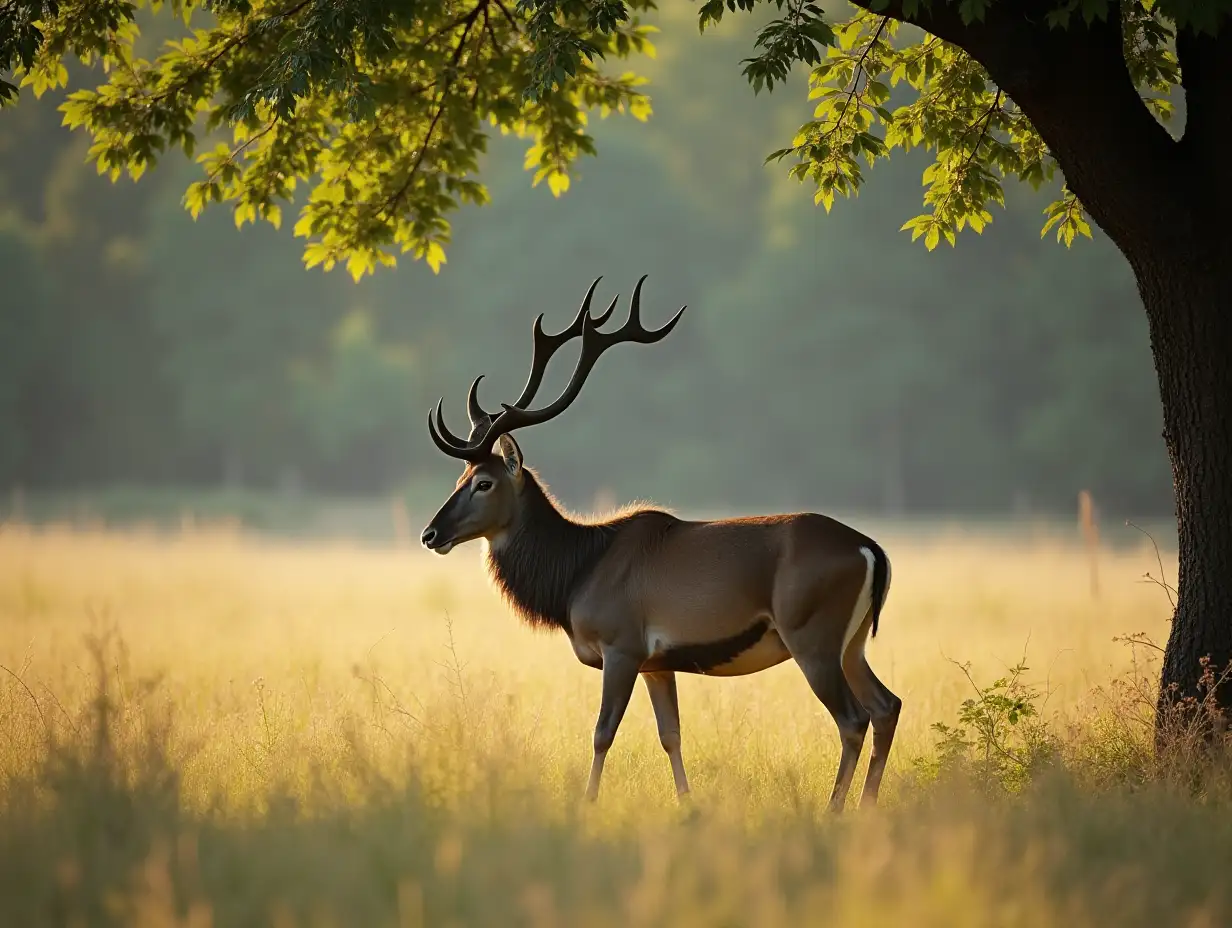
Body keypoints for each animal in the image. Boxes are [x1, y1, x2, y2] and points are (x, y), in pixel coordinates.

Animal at [418, 277, 901, 808]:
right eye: (460, 477)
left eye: (484, 482)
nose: (431, 534)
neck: (575, 576)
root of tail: (871, 550)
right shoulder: (657, 662)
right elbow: (671, 735)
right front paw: (687, 805)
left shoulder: (622, 644)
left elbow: (602, 732)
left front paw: (588, 804)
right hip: (852, 641)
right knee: (887, 705)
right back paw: (867, 805)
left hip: (811, 634)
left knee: (853, 718)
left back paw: (835, 810)